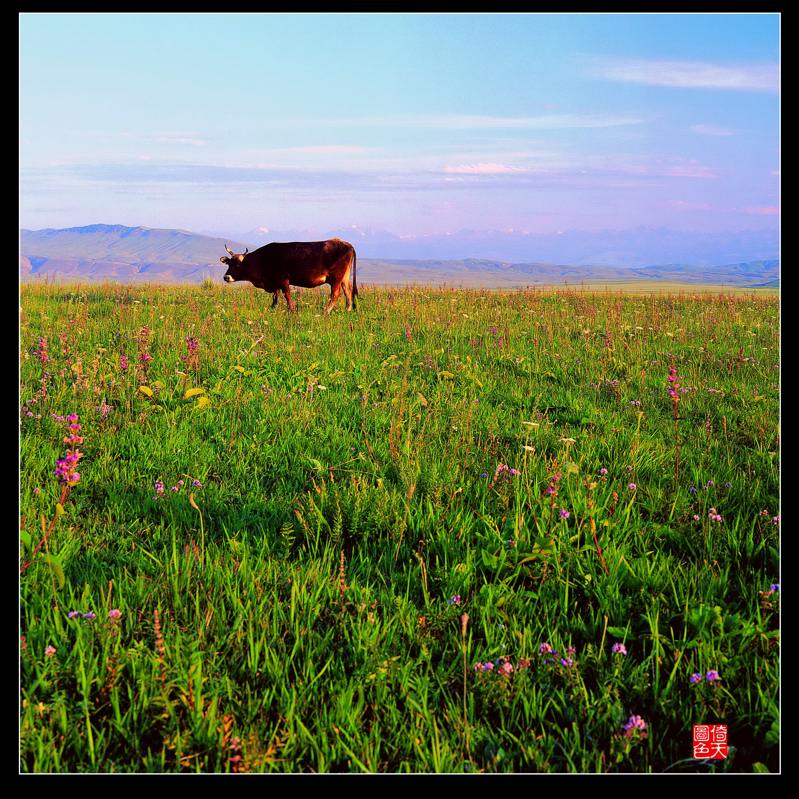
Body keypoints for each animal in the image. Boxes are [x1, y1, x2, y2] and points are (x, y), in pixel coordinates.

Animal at [219, 238, 356, 312]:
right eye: (229, 264)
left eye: (238, 265)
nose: (226, 277)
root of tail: (345, 243)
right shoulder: (275, 283)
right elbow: (276, 297)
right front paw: (273, 309)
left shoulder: (283, 279)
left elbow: (287, 295)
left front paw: (291, 310)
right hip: (344, 278)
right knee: (348, 292)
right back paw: (347, 310)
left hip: (336, 278)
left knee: (335, 294)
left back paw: (326, 311)